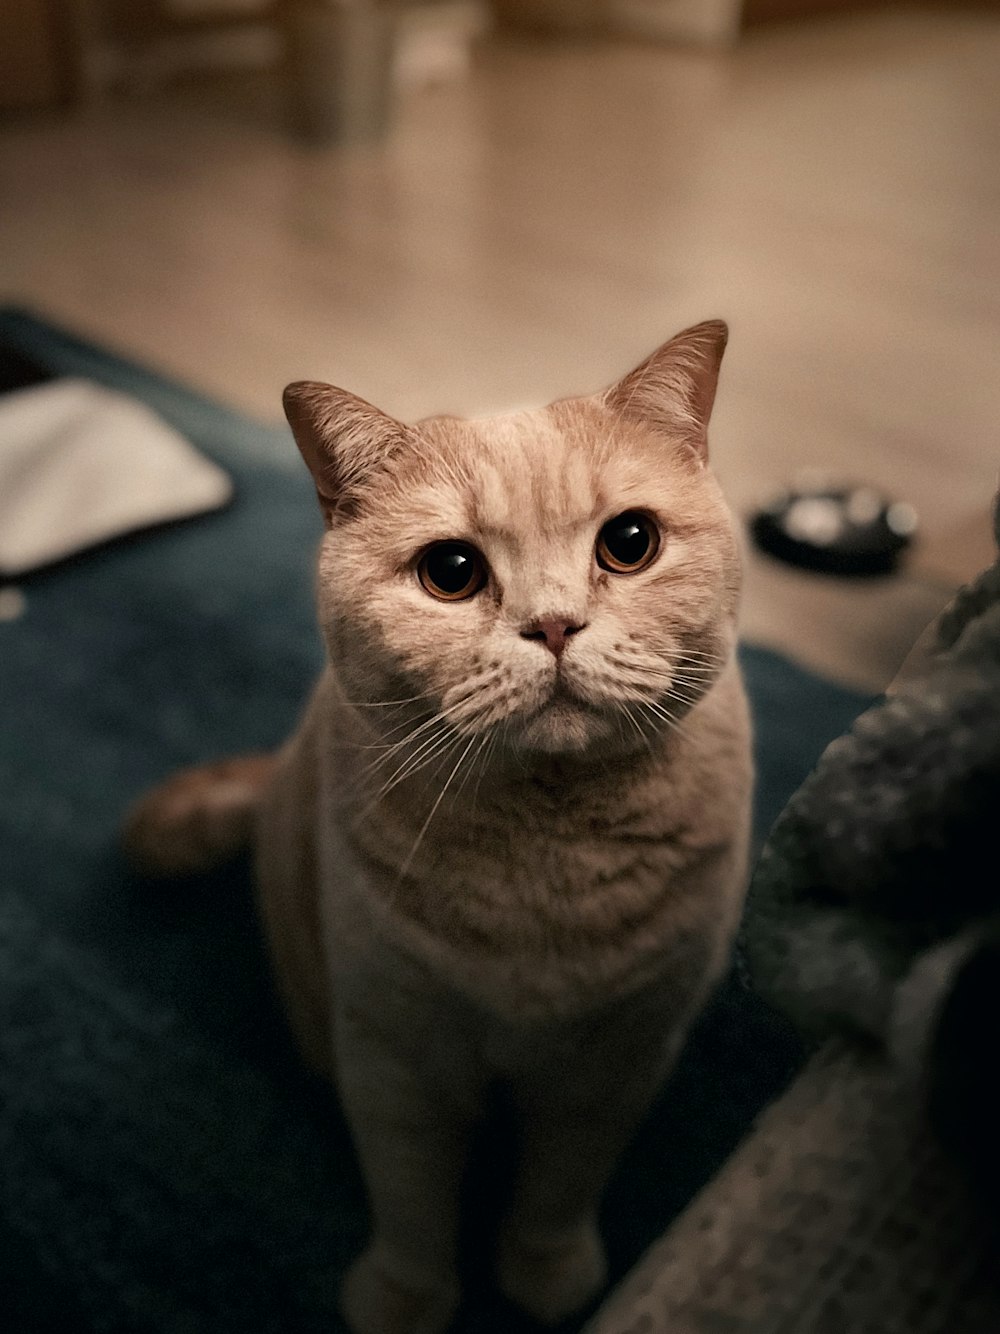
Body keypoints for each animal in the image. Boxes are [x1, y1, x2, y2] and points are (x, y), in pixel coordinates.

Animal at [123, 322, 752, 1334]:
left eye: (629, 544)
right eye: (451, 573)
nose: (554, 625)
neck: (546, 857)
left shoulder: (618, 1062)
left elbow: (559, 1189)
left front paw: (545, 1276)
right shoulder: (394, 1060)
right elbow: (413, 1203)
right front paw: (407, 1300)